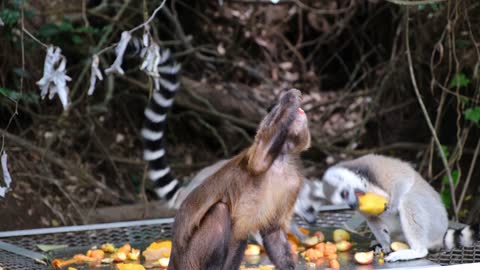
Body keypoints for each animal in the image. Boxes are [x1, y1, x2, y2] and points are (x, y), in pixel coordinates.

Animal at [169, 89, 312, 270]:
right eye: (275, 113)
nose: (295, 109)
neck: (280, 161)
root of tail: (174, 258)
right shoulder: (254, 157)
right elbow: (259, 161)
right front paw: (289, 99)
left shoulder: (293, 183)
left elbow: (273, 232)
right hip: (190, 259)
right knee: (220, 211)